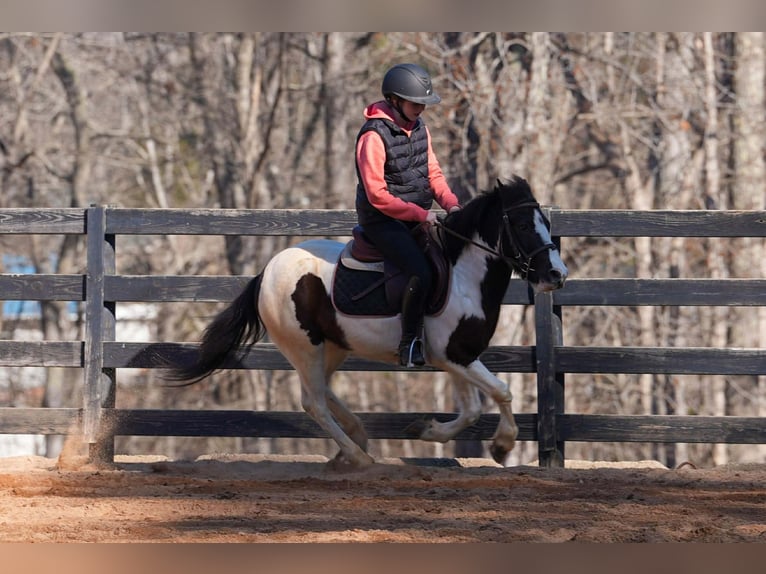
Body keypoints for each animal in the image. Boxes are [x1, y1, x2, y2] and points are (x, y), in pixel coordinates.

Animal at [167, 176, 568, 469]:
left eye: (546, 223)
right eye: (521, 225)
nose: (557, 275)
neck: (463, 277)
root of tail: (266, 272)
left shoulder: (456, 357)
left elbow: (471, 410)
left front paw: (426, 430)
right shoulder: (454, 356)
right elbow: (502, 390)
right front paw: (501, 445)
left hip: (332, 346)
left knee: (321, 391)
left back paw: (356, 440)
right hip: (303, 346)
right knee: (314, 402)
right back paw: (358, 456)